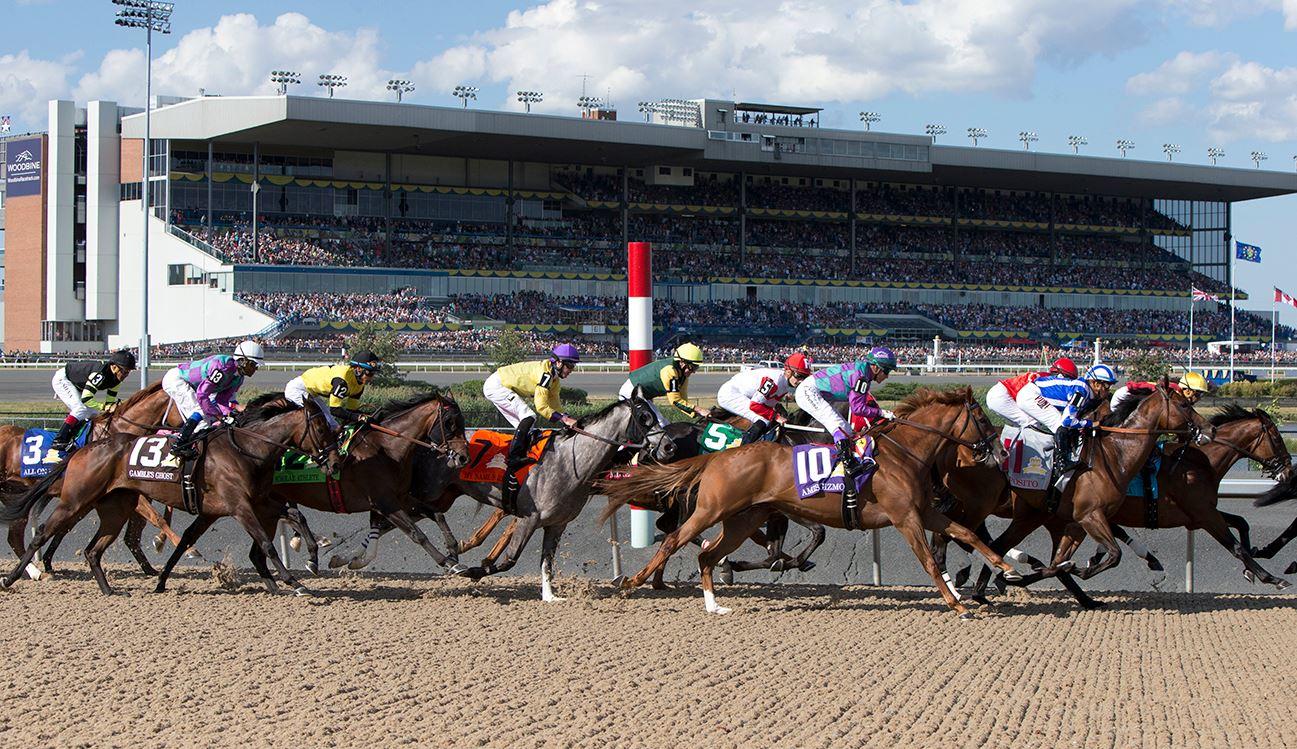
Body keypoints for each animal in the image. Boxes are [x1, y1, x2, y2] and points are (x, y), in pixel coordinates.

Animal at [0, 394, 339, 591]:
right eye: (322, 429)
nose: (334, 461)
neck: (247, 449)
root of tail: (83, 450)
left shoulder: (256, 501)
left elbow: (296, 516)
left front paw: (312, 556)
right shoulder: (239, 505)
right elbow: (267, 543)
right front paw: (294, 581)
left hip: (114, 508)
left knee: (93, 549)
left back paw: (107, 589)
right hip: (75, 500)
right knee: (42, 533)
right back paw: (17, 577)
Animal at [459, 389, 669, 599]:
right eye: (644, 416)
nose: (669, 446)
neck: (569, 461)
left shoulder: (557, 523)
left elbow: (546, 561)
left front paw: (550, 596)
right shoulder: (529, 518)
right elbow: (510, 559)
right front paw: (471, 571)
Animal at [599, 389, 1022, 615]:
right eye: (983, 420)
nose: (1000, 453)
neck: (904, 453)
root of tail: (718, 457)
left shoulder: (926, 511)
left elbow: (967, 532)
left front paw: (1007, 567)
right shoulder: (905, 518)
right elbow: (931, 561)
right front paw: (958, 605)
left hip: (744, 518)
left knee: (707, 553)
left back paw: (714, 603)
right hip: (711, 510)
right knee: (674, 539)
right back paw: (633, 583)